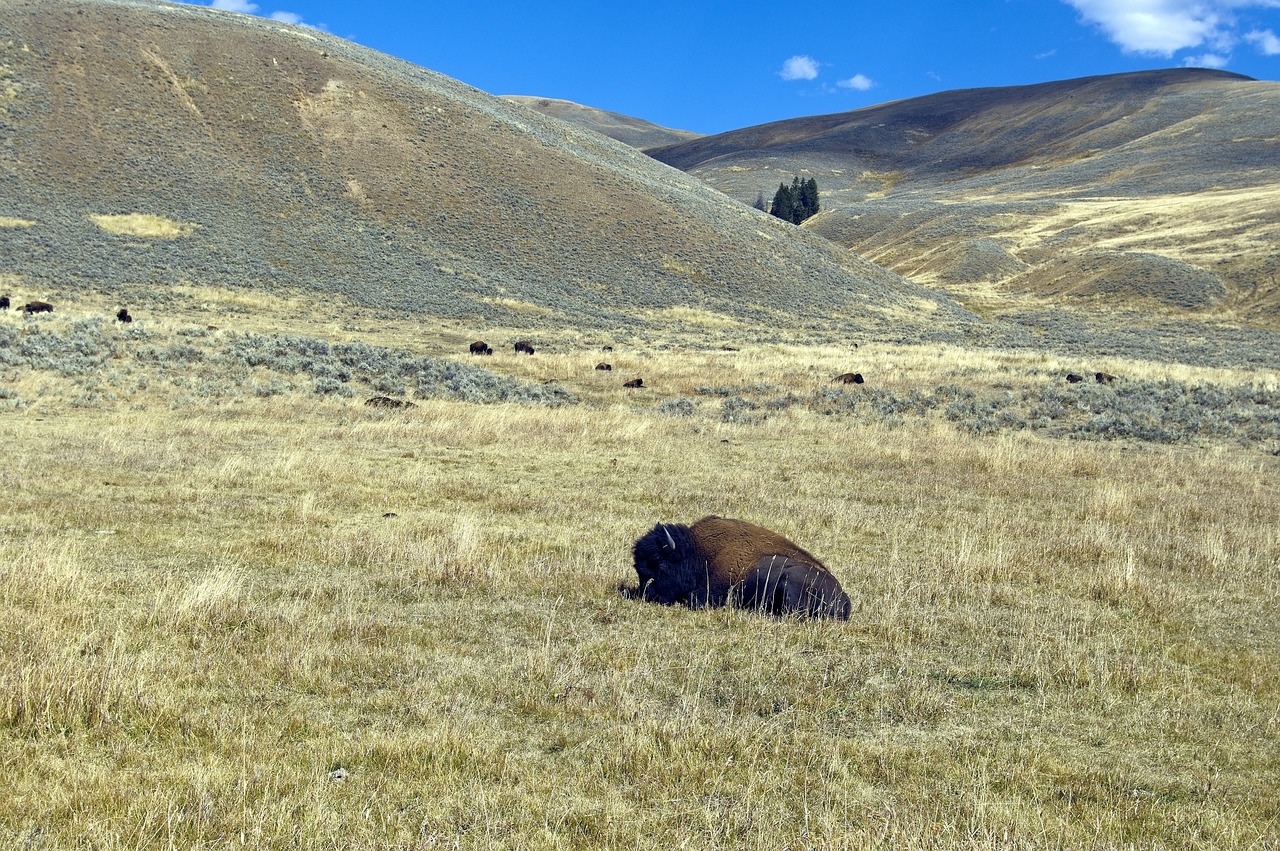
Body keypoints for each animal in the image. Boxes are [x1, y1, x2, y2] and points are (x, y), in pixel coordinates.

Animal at [623, 515, 851, 620]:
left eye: (659, 562)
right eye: (637, 568)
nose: (644, 593)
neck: (699, 552)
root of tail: (845, 602)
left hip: (789, 581)